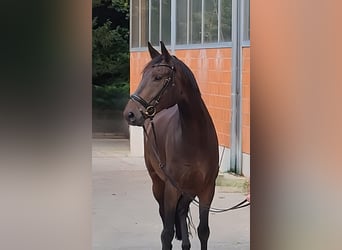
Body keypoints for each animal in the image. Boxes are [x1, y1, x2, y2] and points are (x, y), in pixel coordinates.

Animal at [123, 42, 219, 249]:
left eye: (158, 77)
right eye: (143, 76)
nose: (130, 114)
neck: (195, 139)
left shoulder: (207, 190)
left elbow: (204, 231)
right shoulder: (171, 190)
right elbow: (166, 233)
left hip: (189, 191)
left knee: (182, 212)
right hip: (158, 185)